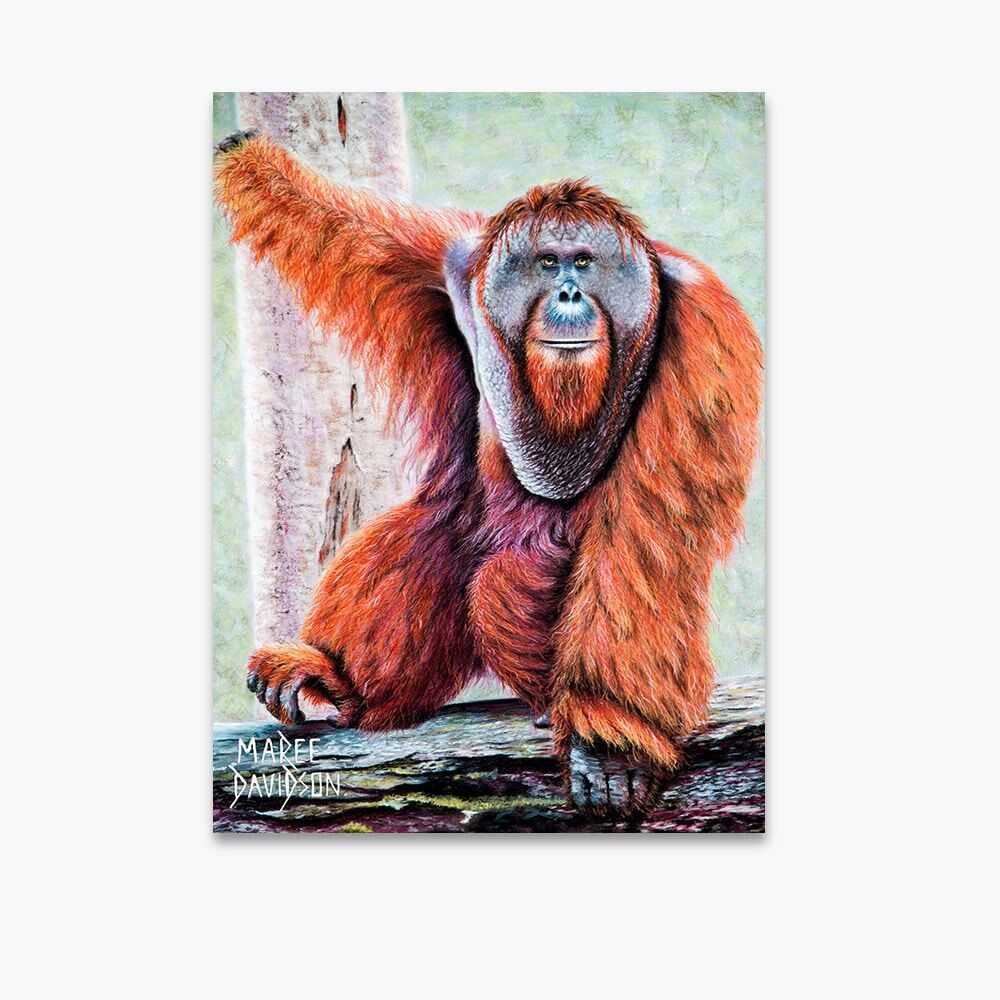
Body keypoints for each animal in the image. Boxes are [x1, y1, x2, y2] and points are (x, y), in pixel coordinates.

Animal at [215, 130, 762, 817]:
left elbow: (649, 533)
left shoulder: (703, 322)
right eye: (546, 263)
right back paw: (336, 678)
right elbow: (345, 230)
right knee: (442, 524)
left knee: (520, 575)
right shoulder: (454, 260)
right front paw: (248, 161)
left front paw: (612, 747)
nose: (568, 295)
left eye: (584, 263)